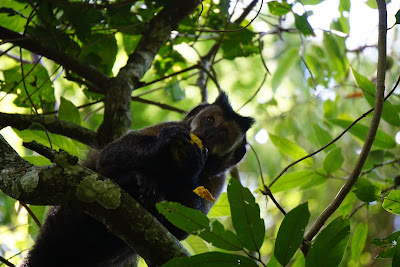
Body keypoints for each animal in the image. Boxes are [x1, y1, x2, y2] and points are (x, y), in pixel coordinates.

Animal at [22, 91, 253, 266]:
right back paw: (133, 181)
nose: (209, 132)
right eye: (209, 120)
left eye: (223, 133)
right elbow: (108, 155)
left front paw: (192, 165)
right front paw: (164, 143)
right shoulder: (169, 125)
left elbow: (181, 230)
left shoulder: (218, 180)